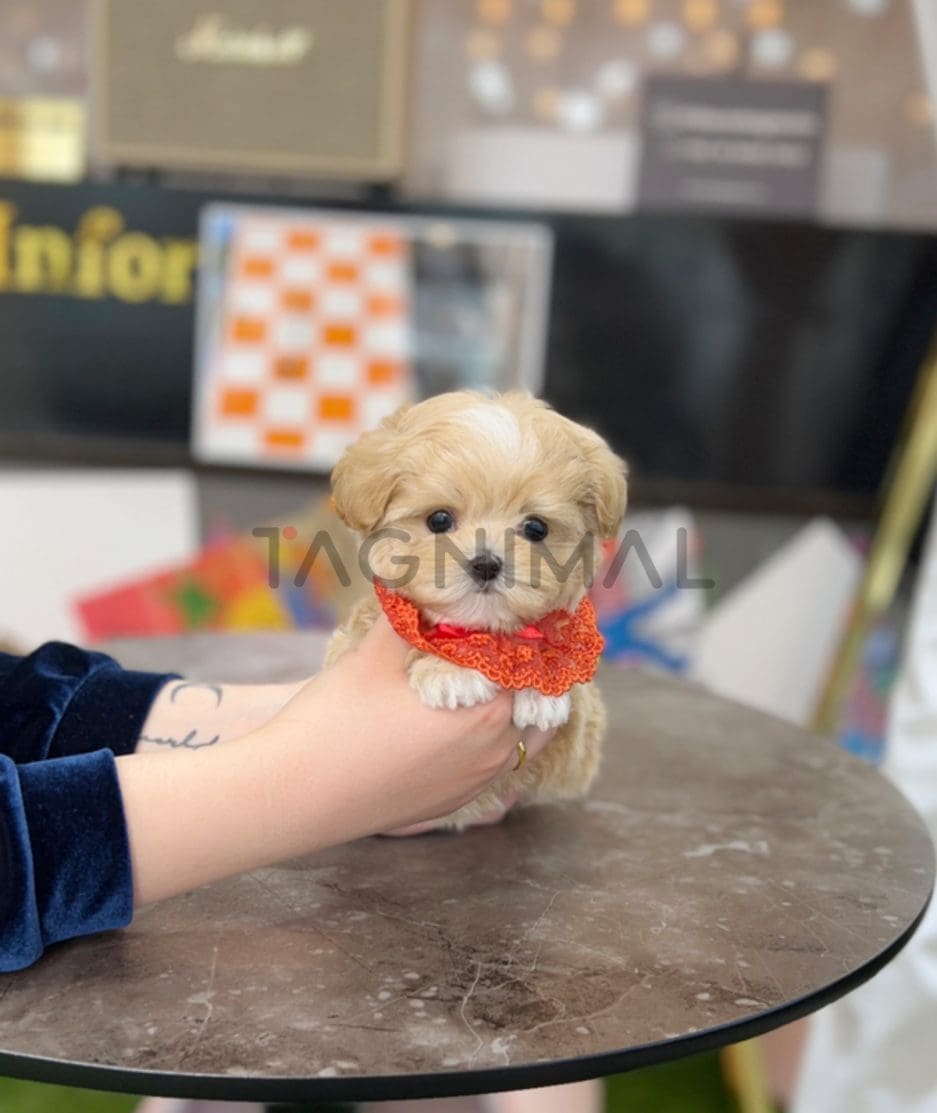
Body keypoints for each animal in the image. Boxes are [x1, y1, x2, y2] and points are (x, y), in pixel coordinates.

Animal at [324, 390, 628, 829]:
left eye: (536, 528)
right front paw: (452, 672)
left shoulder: (577, 752)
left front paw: (544, 685)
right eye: (439, 519)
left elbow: (577, 703)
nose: (485, 563)